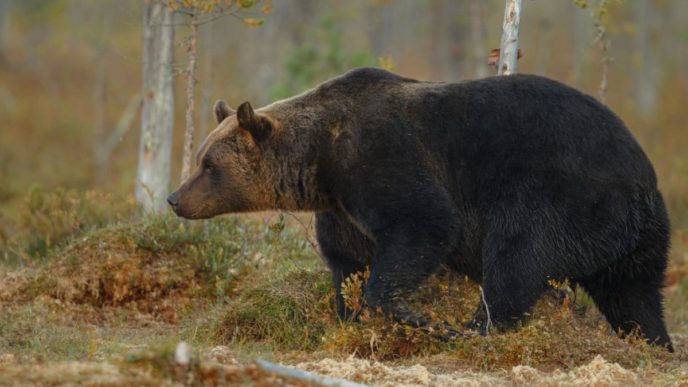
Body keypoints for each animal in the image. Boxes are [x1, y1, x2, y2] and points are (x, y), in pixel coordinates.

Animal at [167, 68, 672, 354]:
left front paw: (414, 316)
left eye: (208, 165)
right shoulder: (342, 209)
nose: (174, 198)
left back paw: (473, 329)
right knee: (635, 294)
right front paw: (350, 318)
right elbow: (347, 264)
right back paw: (655, 345)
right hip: (635, 237)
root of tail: (642, 178)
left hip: (558, 194)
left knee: (516, 259)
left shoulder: (384, 159)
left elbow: (423, 225)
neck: (320, 162)